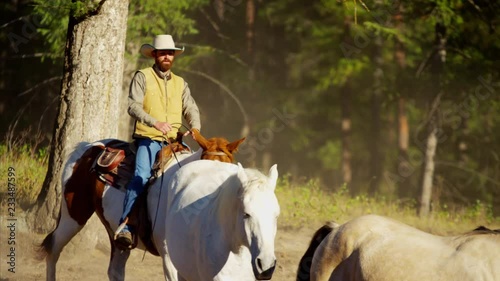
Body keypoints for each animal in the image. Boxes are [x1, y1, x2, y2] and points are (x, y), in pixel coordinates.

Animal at [39, 129, 244, 280]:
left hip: (114, 233)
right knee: (54, 248)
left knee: (115, 270)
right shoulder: (169, 258)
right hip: (73, 215)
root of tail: (88, 147)